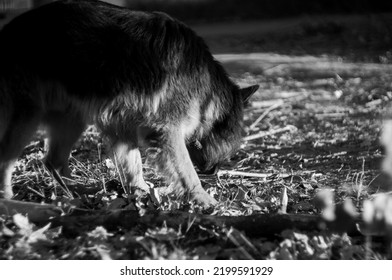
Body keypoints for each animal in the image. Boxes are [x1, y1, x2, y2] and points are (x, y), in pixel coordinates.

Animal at [0, 0, 258, 206]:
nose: (214, 171)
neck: (208, 94)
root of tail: (8, 30)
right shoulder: (168, 133)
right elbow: (186, 172)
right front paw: (205, 199)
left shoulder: (123, 128)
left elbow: (133, 166)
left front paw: (141, 191)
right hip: (28, 115)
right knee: (7, 159)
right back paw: (8, 199)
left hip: (72, 118)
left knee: (53, 161)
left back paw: (76, 192)